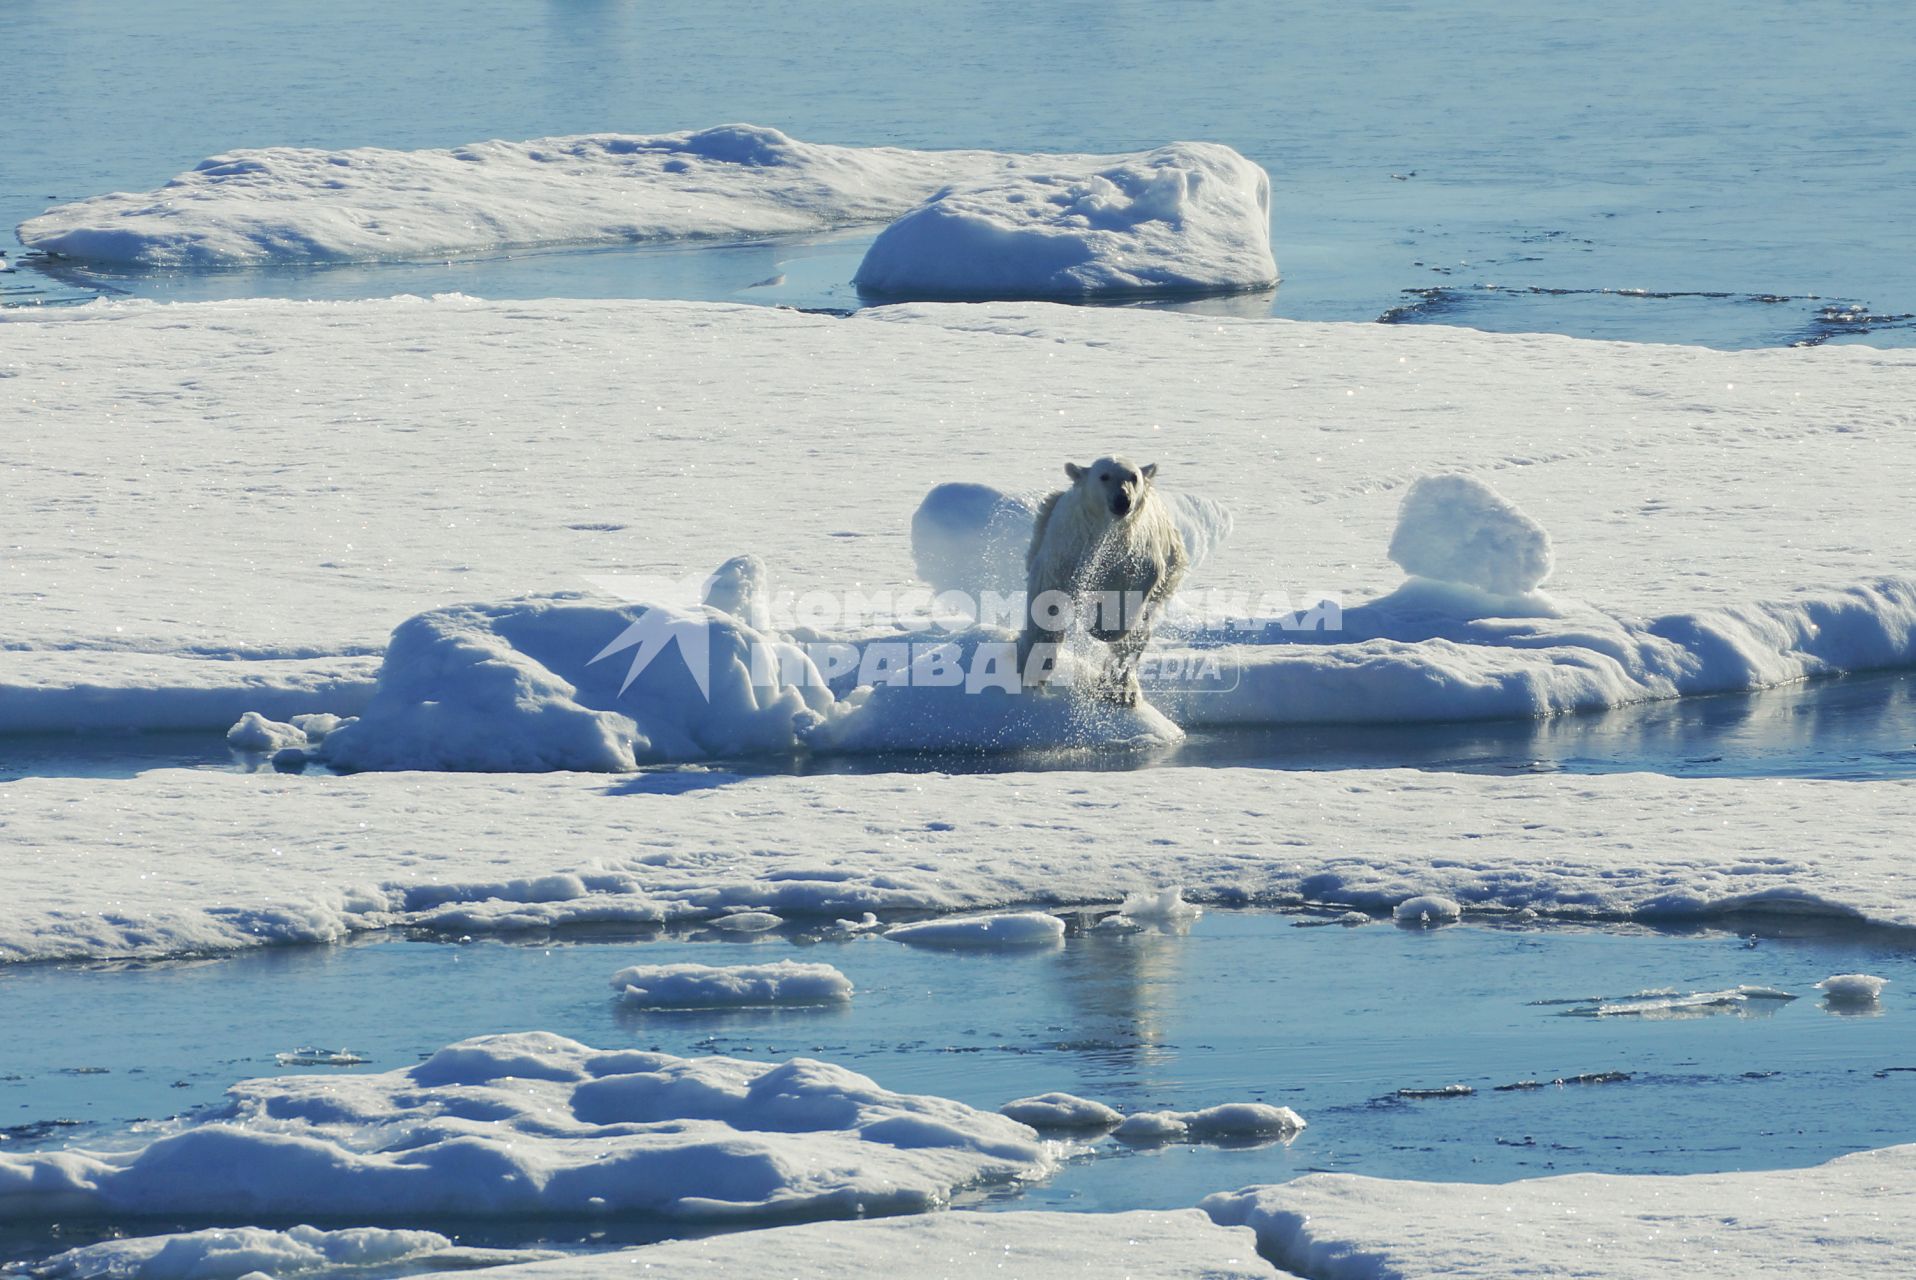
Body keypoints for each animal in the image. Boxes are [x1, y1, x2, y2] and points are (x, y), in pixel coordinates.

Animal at [1019, 457, 1180, 705]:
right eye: (1104, 476)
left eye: (1133, 477)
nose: (1123, 500)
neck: (1106, 531)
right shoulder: (1068, 549)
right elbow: (1047, 602)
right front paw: (1032, 670)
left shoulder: (1137, 556)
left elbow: (1131, 599)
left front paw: (1101, 626)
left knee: (1137, 636)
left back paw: (1121, 690)